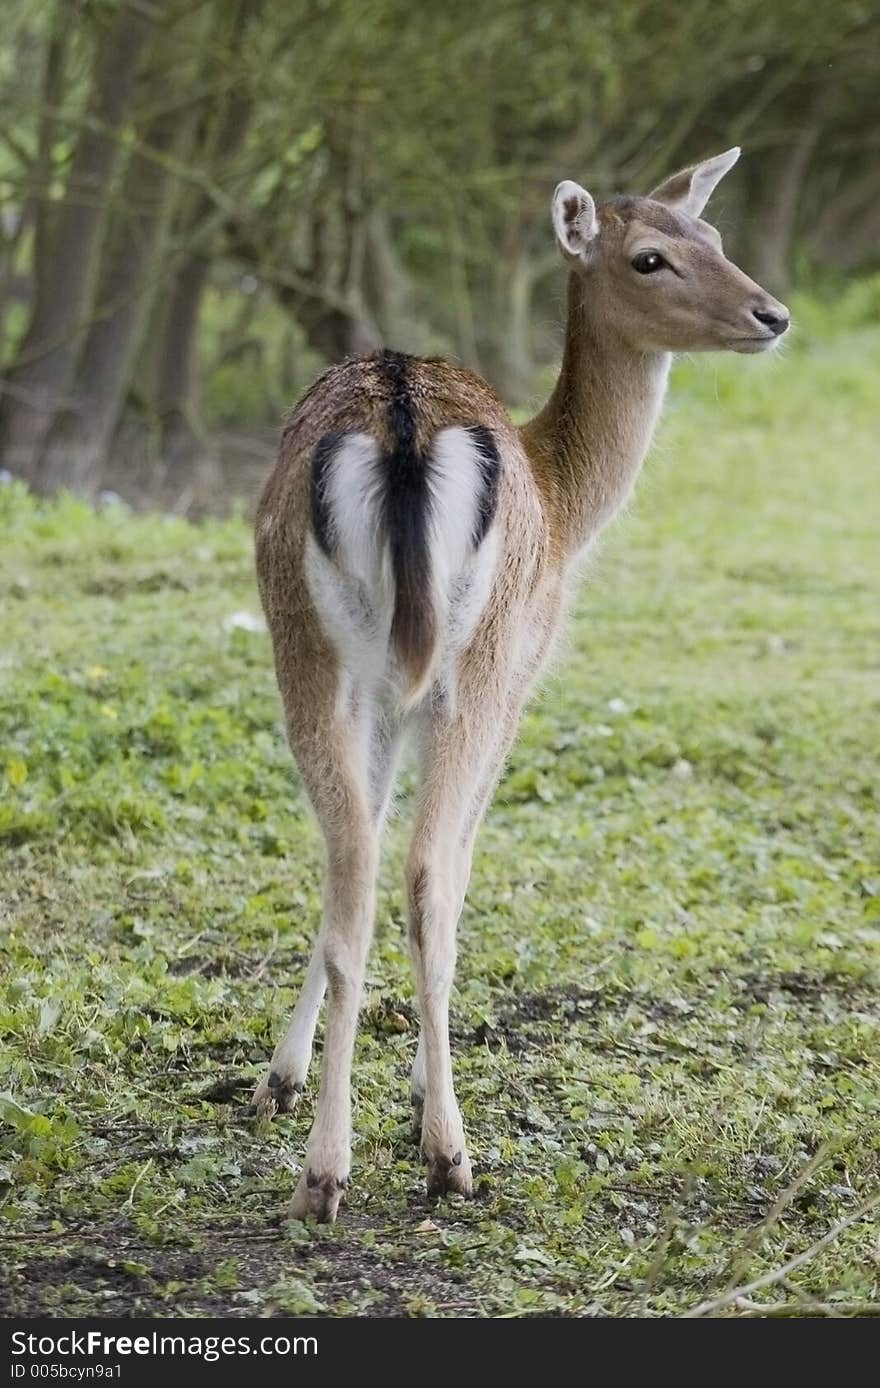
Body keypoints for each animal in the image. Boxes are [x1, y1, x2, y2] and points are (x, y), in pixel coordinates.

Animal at [249, 146, 782, 1221]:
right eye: (652, 256)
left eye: (713, 233)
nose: (772, 314)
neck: (570, 501)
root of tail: (402, 431)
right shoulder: (525, 673)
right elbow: (457, 860)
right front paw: (417, 1093)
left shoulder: (384, 700)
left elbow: (352, 864)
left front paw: (279, 1079)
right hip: (479, 664)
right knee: (424, 874)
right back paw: (447, 1155)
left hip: (310, 652)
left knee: (354, 866)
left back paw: (321, 1173)